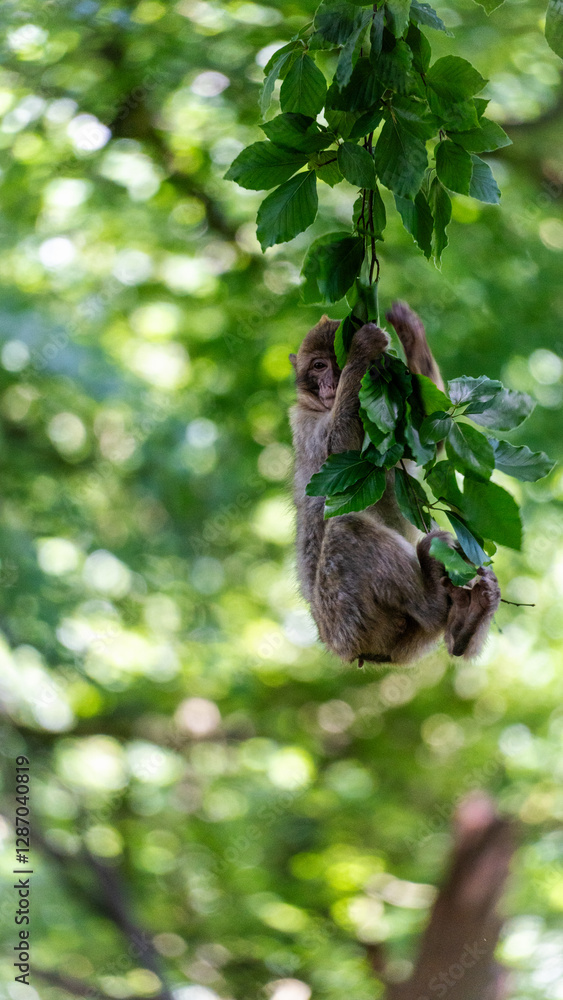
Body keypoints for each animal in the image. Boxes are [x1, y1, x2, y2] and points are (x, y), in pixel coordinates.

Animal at [289, 301, 501, 666]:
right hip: (345, 616)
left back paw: (465, 621)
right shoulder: (303, 423)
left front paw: (409, 330)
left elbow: (429, 436)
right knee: (346, 526)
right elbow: (338, 452)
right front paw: (364, 347)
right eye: (318, 366)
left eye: (336, 363)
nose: (331, 382)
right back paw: (433, 601)